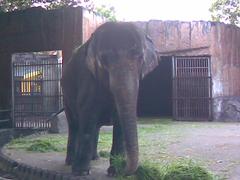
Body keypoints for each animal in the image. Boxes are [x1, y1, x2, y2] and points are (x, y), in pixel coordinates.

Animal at [61, 21, 158, 176]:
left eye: (140, 58)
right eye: (104, 59)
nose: (124, 167)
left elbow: (119, 123)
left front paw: (114, 171)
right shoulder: (88, 79)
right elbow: (87, 117)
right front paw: (81, 172)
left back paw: (95, 158)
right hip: (66, 97)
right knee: (75, 125)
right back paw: (70, 162)